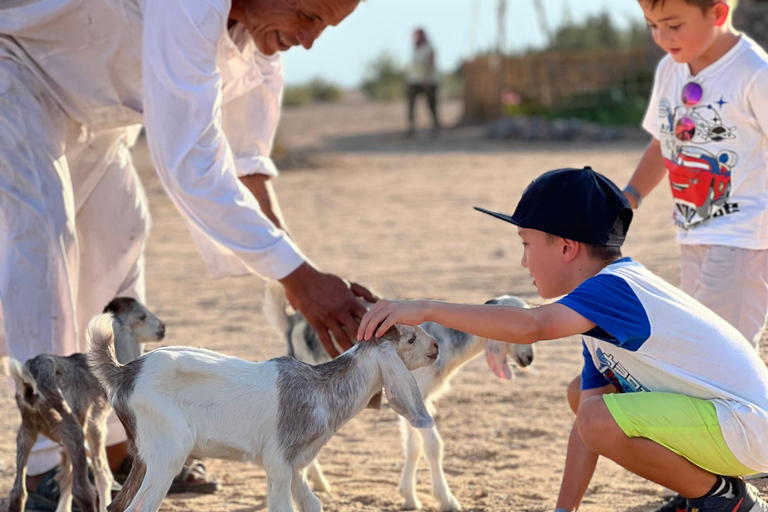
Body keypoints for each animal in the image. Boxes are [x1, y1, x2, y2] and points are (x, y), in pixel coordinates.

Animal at [7, 298, 166, 512]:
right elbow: (102, 473)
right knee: (82, 490)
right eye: (142, 316)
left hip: (27, 432)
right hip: (72, 429)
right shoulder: (95, 424)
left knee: (18, 492)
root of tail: (29, 384)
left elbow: (66, 475)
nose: (162, 328)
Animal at [88, 312, 438, 512]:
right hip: (167, 452)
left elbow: (313, 504)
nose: (436, 347)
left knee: (116, 505)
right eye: (410, 339)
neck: (321, 389)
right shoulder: (278, 461)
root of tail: (124, 373)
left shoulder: (295, 466)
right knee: (139, 507)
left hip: (144, 456)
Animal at [264, 284, 536, 512]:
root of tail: (290, 321)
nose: (529, 358)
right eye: (510, 325)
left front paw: (409, 496)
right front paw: (446, 500)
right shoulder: (416, 389)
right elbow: (433, 445)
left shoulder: (420, 398)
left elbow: (414, 445)